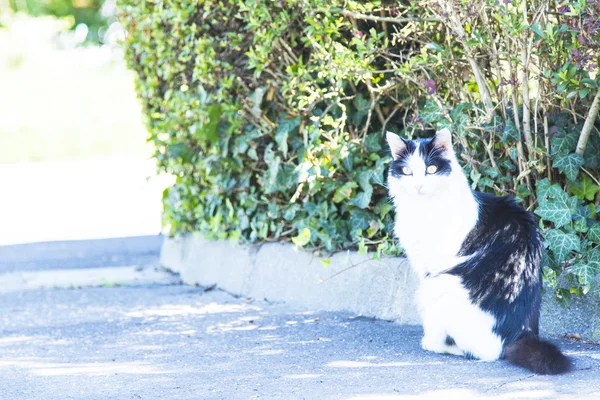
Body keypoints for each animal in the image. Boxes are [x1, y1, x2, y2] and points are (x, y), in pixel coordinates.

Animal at [386, 128, 568, 376]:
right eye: (407, 171)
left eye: (430, 169)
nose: (418, 186)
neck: (425, 209)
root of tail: (517, 335)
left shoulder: (433, 266)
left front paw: (429, 341)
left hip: (439, 285)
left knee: (486, 353)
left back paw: (443, 346)